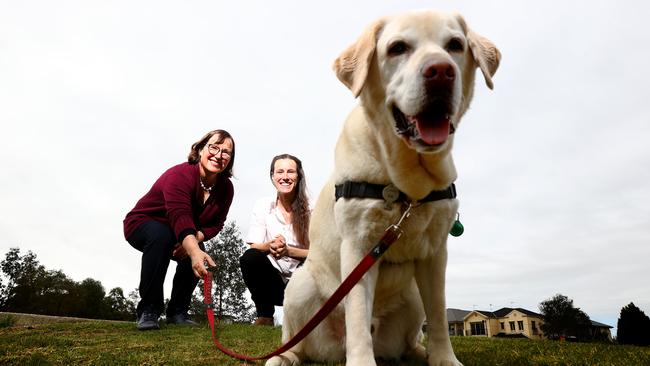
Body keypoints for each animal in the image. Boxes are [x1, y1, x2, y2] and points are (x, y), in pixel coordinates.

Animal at [266, 9, 498, 366]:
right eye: (398, 48)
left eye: (455, 45)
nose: (441, 71)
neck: (408, 184)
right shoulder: (359, 246)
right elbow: (358, 317)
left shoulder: (436, 253)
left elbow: (439, 314)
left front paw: (444, 358)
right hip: (301, 287)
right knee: (296, 340)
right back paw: (284, 357)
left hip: (411, 297)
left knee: (410, 338)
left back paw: (418, 352)